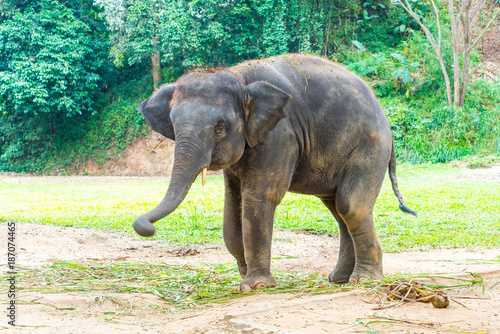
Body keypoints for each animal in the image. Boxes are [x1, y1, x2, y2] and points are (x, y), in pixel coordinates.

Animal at [134, 53, 418, 290]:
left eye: (220, 127)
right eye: (173, 124)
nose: (146, 228)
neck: (239, 78)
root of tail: (384, 115)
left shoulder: (281, 135)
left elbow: (260, 198)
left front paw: (255, 285)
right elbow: (233, 206)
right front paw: (245, 274)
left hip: (370, 146)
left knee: (351, 206)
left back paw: (364, 280)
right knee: (339, 209)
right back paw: (339, 279)